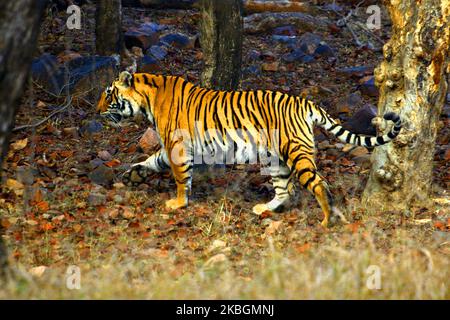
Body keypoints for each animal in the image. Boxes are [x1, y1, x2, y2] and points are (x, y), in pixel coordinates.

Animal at [96, 72, 402, 228]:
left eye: (108, 95)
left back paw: (327, 220)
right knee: (286, 189)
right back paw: (263, 208)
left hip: (295, 152)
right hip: (275, 160)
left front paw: (179, 203)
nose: (96, 111)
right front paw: (132, 175)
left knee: (318, 183)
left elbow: (181, 177)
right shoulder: (171, 147)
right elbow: (152, 160)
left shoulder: (177, 145)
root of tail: (305, 102)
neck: (148, 99)